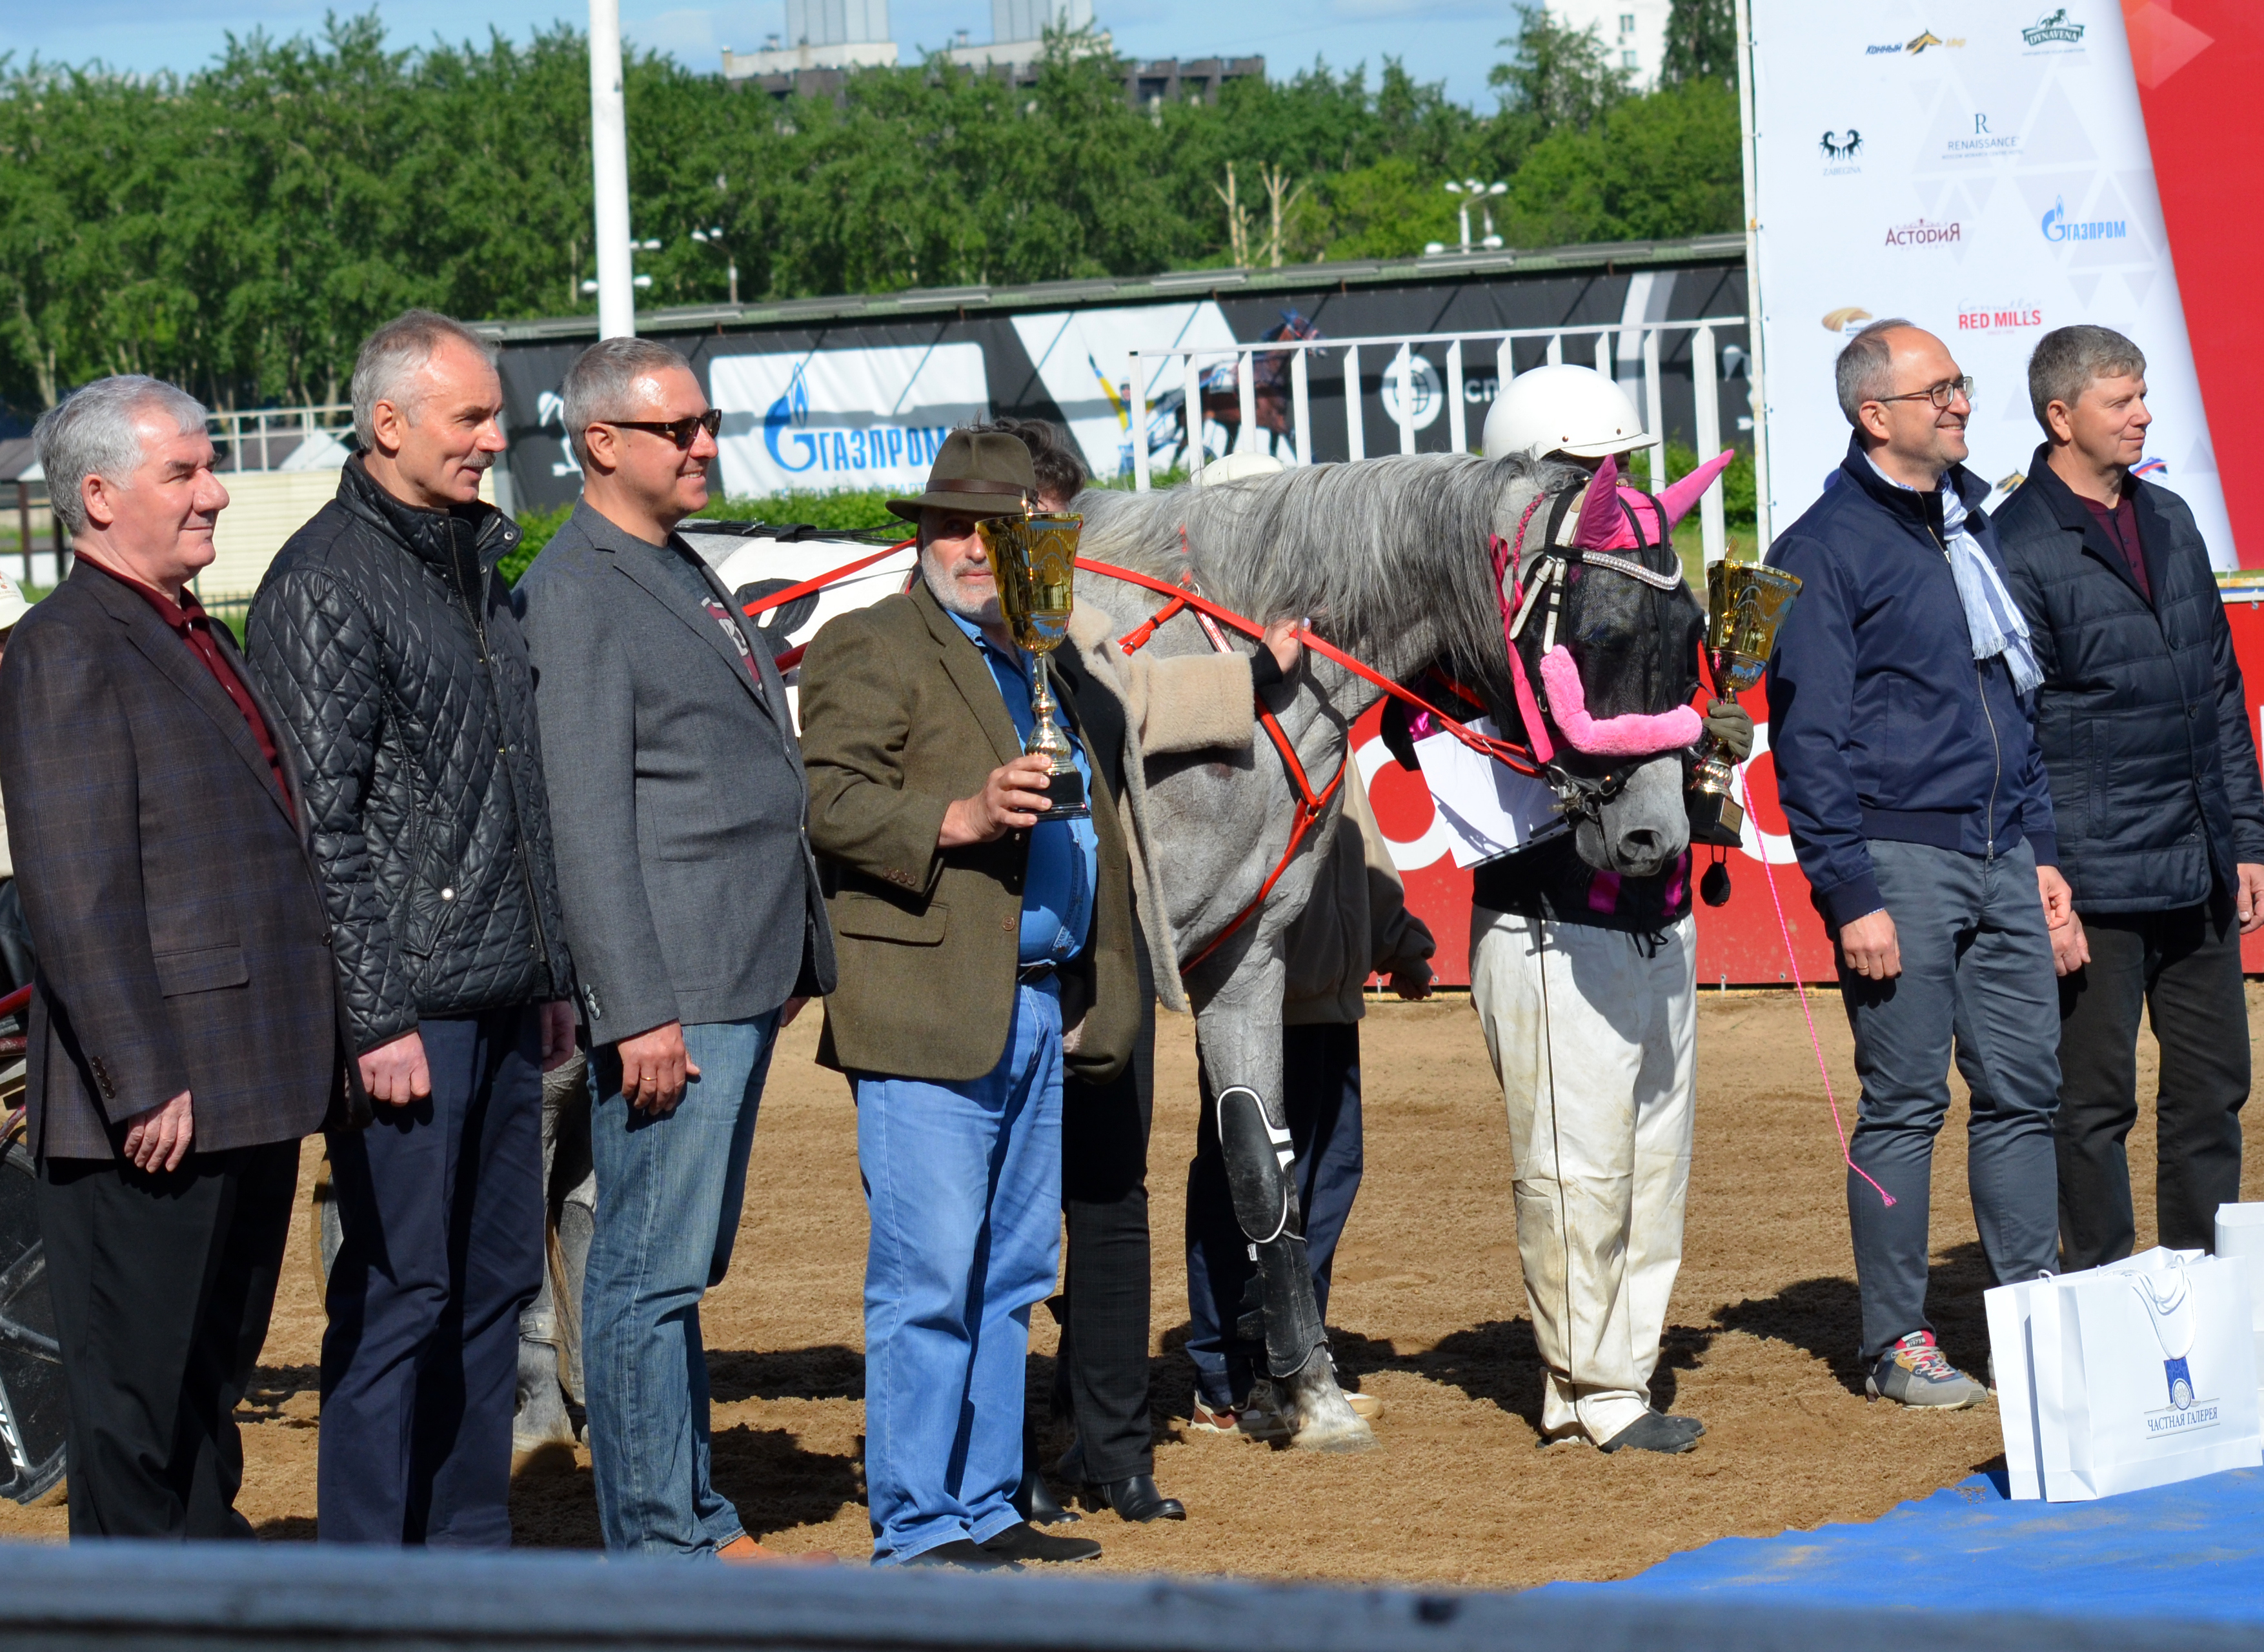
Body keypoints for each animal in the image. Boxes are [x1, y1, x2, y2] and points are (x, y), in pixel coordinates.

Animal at [1077, 450, 1703, 1439]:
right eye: (1600, 636)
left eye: (1692, 634)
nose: (1658, 836)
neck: (1229, 674)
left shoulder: (1243, 960)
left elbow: (1261, 1165)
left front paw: (1313, 1393)